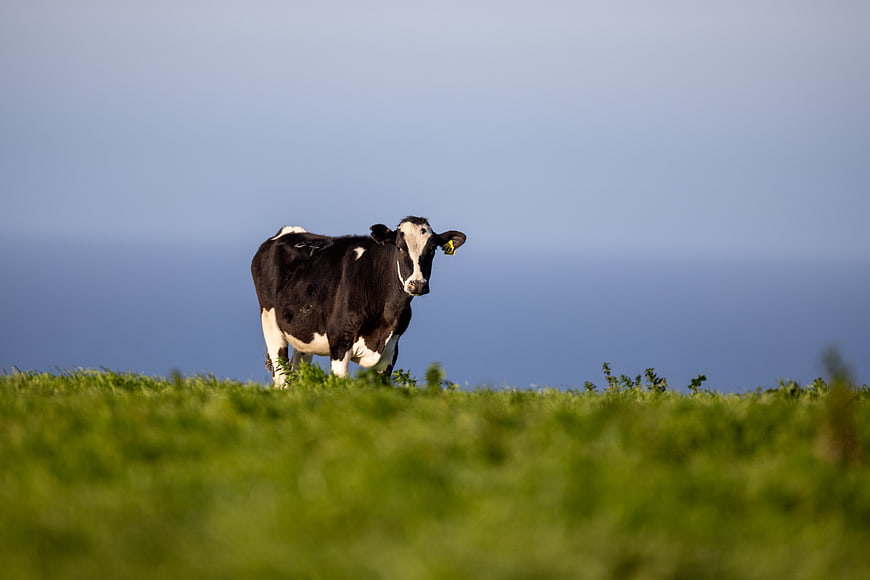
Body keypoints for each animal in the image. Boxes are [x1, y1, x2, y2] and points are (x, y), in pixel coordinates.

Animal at [251, 216, 467, 386]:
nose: (418, 285)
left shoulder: (391, 349)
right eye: (399, 247)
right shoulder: (339, 337)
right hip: (269, 320)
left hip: (304, 336)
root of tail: (288, 231)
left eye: (432, 250)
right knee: (282, 377)